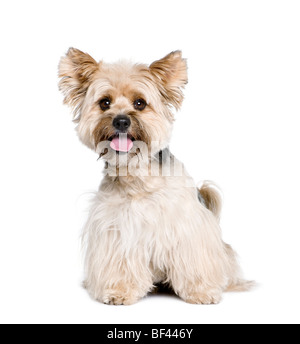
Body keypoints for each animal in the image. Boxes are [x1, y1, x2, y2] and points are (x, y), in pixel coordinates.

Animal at [58, 48, 251, 304]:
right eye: (104, 102)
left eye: (140, 103)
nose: (121, 120)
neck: (137, 175)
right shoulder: (115, 230)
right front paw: (120, 290)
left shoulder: (188, 228)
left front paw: (200, 291)